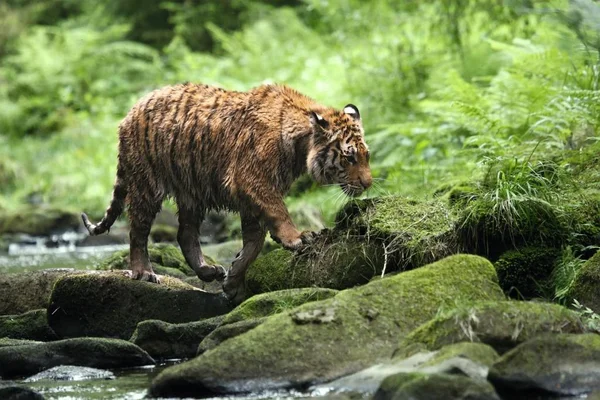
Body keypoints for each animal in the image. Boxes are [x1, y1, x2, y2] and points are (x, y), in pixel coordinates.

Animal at [79, 84, 370, 304]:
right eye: (350, 157)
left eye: (366, 155)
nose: (368, 184)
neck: (301, 146)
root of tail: (131, 111)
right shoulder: (252, 180)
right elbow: (278, 213)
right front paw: (298, 238)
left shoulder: (251, 197)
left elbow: (253, 243)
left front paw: (232, 281)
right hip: (146, 184)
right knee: (138, 232)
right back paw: (144, 273)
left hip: (191, 192)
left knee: (185, 234)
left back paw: (208, 271)